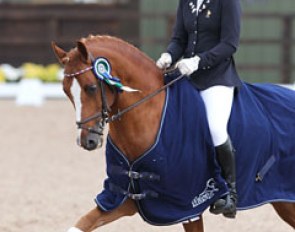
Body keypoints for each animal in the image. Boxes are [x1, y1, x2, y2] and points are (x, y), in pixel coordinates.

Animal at [52, 35, 294, 232]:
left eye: (91, 88)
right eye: (65, 90)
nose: (87, 141)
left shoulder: (186, 204)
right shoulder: (124, 197)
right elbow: (80, 225)